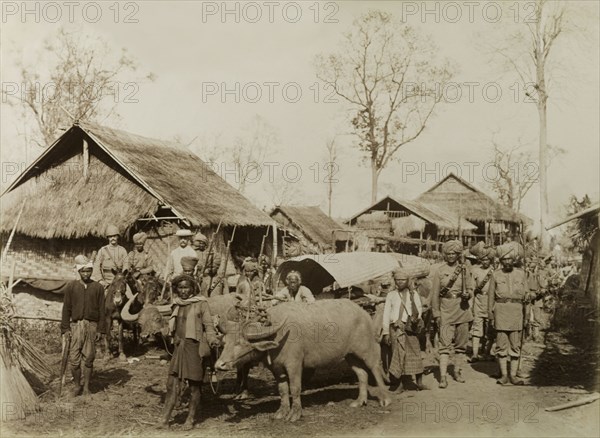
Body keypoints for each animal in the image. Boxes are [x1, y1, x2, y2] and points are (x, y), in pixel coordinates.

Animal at [213, 298, 392, 420]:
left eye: (240, 343)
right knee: (362, 374)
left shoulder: (294, 364)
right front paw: (281, 412)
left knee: (375, 368)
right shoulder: (277, 369)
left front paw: (295, 414)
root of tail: (364, 313)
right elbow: (283, 390)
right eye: (225, 342)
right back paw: (359, 401)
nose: (219, 365)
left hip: (367, 350)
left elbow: (295, 388)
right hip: (350, 355)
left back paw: (385, 399)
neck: (277, 335)